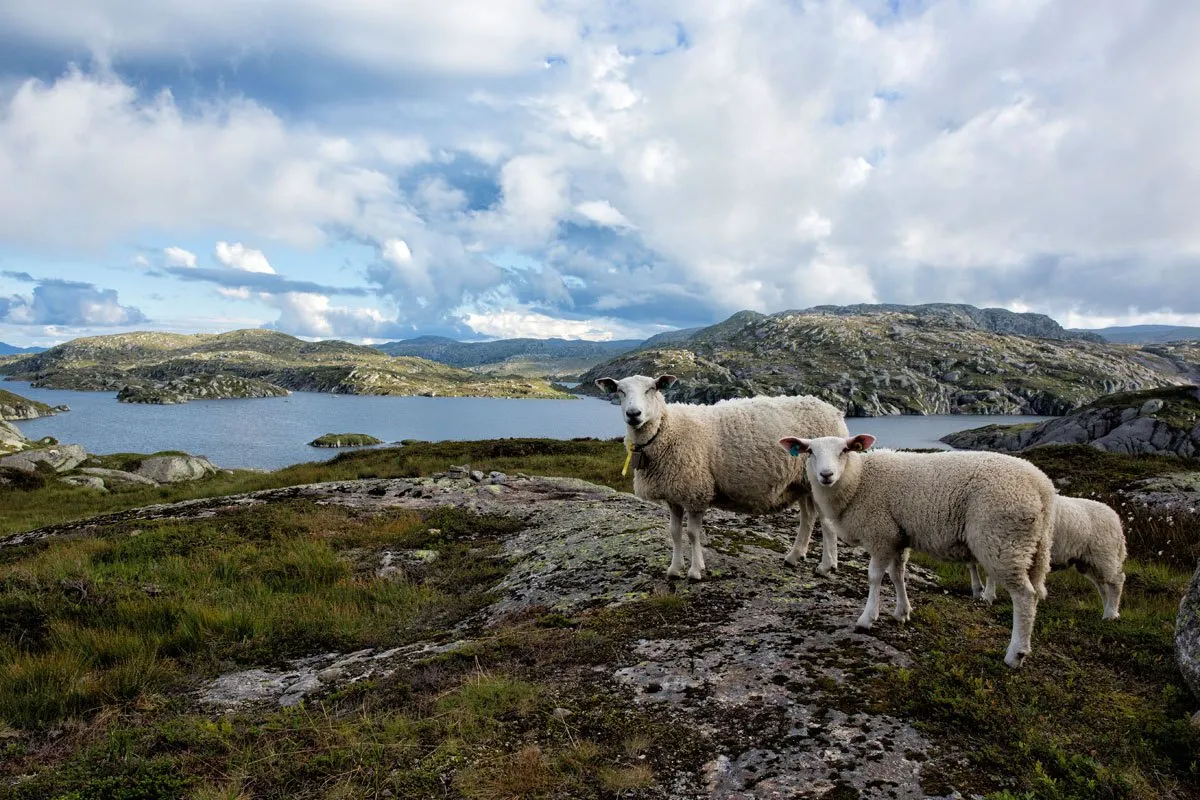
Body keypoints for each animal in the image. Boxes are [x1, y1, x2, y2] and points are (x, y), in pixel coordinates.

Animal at [595, 371, 849, 578]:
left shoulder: (696, 491)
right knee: (808, 517)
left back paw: (826, 566)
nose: (633, 414)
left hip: (820, 477)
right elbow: (674, 532)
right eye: (619, 391)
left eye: (652, 388)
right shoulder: (674, 494)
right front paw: (675, 569)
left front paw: (695, 571)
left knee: (825, 522)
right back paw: (795, 556)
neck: (666, 429)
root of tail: (833, 410)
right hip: (803, 482)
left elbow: (692, 533)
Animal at [777, 434, 1051, 666]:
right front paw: (902, 612)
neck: (859, 481)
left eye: (844, 450)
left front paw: (867, 618)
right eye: (810, 451)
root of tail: (1043, 486)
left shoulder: (881, 533)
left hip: (1003, 539)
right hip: (1033, 548)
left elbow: (875, 576)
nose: (826, 475)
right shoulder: (898, 536)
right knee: (1036, 593)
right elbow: (897, 574)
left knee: (1024, 596)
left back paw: (1015, 654)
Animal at [964, 496, 1123, 623]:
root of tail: (1116, 518)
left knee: (1116, 581)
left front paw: (988, 596)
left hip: (1104, 555)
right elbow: (972, 566)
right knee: (1103, 587)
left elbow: (988, 573)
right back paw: (1109, 611)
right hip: (1089, 562)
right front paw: (980, 593)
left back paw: (1110, 614)